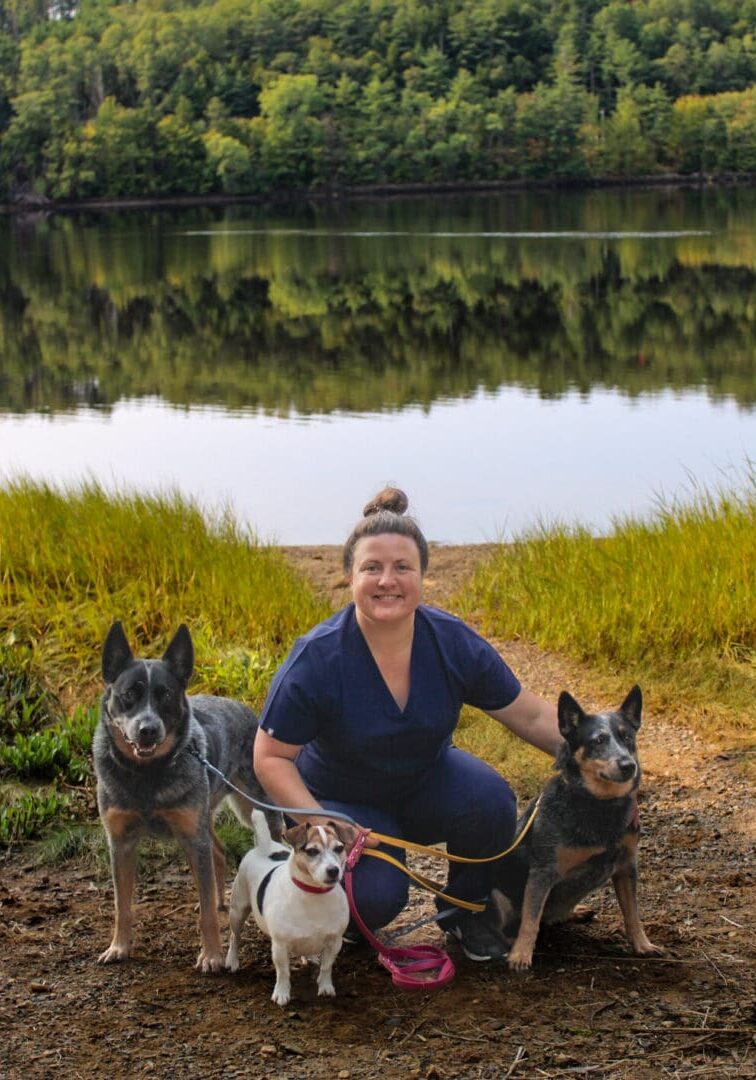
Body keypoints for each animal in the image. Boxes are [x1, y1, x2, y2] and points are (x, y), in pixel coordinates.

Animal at [93, 622, 280, 976]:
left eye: (165, 694)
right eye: (129, 695)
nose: (148, 730)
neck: (148, 777)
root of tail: (244, 707)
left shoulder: (192, 838)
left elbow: (206, 916)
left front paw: (212, 955)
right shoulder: (120, 842)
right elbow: (122, 904)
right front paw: (119, 946)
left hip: (252, 807)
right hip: (203, 817)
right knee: (218, 853)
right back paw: (220, 896)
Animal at [225, 812, 356, 1002]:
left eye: (339, 848)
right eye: (312, 851)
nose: (333, 870)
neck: (314, 894)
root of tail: (264, 844)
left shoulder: (334, 942)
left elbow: (326, 967)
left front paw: (325, 986)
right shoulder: (280, 945)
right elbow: (283, 972)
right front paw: (281, 993)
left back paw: (310, 956)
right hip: (238, 911)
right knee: (235, 937)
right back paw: (232, 960)